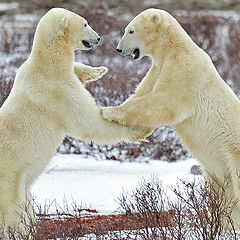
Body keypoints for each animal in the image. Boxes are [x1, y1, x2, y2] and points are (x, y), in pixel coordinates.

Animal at [0, 8, 150, 232]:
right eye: (85, 23)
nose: (98, 38)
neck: (47, 63)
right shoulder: (56, 89)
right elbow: (86, 120)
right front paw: (139, 131)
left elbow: (76, 72)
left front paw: (97, 70)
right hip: (9, 175)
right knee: (12, 207)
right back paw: (19, 230)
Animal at [102, 7, 240, 229]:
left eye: (131, 30)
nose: (118, 49)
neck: (173, 49)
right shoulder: (157, 69)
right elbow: (142, 94)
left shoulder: (184, 71)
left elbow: (165, 102)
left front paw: (108, 111)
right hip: (219, 170)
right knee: (222, 194)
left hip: (234, 154)